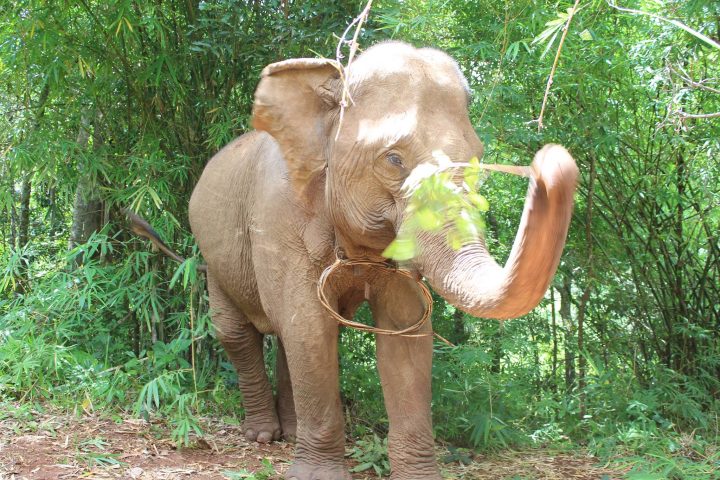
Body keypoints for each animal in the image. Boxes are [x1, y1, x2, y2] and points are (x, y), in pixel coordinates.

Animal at [129, 41, 577, 480]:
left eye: (477, 161)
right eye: (393, 159)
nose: (551, 161)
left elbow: (402, 332)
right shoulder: (277, 218)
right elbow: (308, 326)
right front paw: (315, 476)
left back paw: (292, 434)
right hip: (213, 250)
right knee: (237, 331)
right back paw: (263, 436)